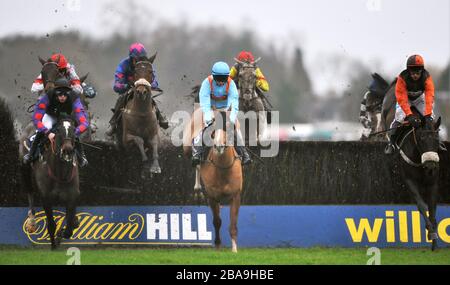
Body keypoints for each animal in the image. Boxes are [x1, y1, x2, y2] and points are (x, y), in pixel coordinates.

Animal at [19, 115, 81, 248]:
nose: (67, 150)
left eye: (74, 130)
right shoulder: (46, 198)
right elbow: (52, 225)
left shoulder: (72, 196)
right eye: (58, 131)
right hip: (25, 169)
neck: (60, 174)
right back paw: (31, 221)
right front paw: (53, 245)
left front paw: (62, 232)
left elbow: (69, 228)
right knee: (29, 191)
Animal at [396, 108, 442, 248]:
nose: (430, 165)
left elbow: (432, 207)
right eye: (421, 138)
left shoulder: (433, 182)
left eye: (437, 138)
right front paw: (430, 230)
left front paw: (434, 238)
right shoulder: (409, 180)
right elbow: (422, 205)